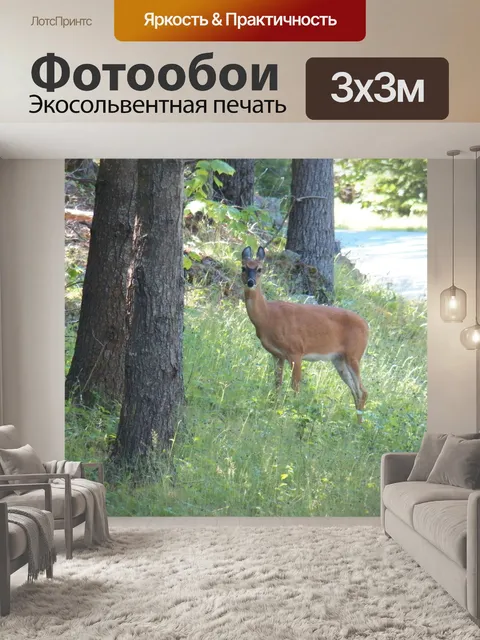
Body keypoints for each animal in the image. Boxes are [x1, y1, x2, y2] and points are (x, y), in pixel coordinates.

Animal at [241, 246, 369, 423]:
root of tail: (367, 327)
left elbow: (295, 386)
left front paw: (293, 413)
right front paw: (275, 407)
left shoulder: (296, 351)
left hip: (354, 355)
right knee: (355, 391)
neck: (268, 317)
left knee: (363, 391)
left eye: (260, 269)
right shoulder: (277, 354)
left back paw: (359, 425)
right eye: (243, 267)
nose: (250, 282)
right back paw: (356, 423)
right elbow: (277, 383)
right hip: (339, 360)